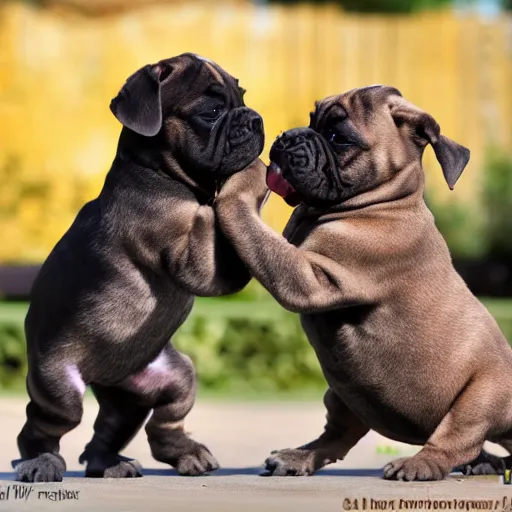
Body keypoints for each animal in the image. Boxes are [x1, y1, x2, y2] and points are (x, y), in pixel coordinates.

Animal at [12, 54, 264, 482]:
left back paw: (148, 458)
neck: (160, 173)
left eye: (243, 97)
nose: (256, 119)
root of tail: (100, 379)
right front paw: (254, 173)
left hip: (170, 378)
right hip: (60, 390)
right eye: (212, 113)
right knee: (41, 428)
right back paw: (40, 462)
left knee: (131, 428)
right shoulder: (196, 259)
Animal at [214, 86, 512, 482]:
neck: (383, 202)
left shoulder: (307, 277)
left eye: (338, 137)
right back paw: (300, 457)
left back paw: (421, 464)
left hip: (479, 397)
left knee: (456, 439)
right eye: (311, 121)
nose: (287, 137)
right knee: (340, 434)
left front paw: (239, 183)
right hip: (343, 394)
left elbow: (250, 230)